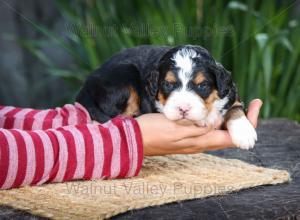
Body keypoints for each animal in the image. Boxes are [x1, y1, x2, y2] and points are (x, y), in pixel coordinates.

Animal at [76, 45, 256, 150]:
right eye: (168, 84)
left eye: (202, 85)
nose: (183, 108)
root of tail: (87, 84)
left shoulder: (231, 94)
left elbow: (235, 109)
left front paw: (245, 133)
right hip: (124, 74)